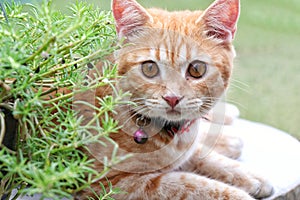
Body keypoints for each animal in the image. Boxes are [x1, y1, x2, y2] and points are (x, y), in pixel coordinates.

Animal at [74, 0, 274, 199]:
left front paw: (249, 175)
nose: (172, 97)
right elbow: (190, 184)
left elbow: (201, 155)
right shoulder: (113, 184)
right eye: (149, 68)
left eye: (196, 69)